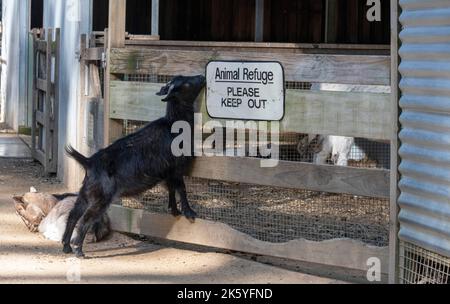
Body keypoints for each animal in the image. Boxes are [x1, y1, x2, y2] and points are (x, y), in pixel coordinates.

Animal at [62, 74, 206, 256]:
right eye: (186, 84)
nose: (201, 76)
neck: (174, 125)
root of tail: (89, 161)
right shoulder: (177, 167)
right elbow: (181, 188)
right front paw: (189, 212)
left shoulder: (167, 172)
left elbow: (171, 189)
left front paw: (174, 210)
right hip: (101, 196)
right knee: (85, 218)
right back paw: (78, 250)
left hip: (87, 191)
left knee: (73, 214)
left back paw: (66, 246)